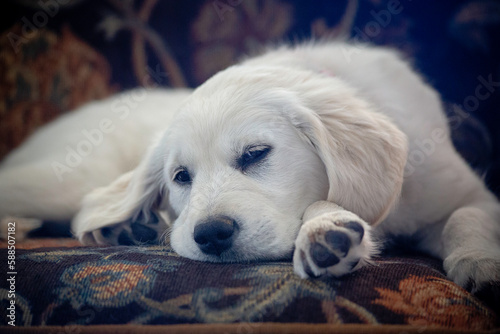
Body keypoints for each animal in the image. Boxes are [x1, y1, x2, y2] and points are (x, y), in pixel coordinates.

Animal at [0, 41, 500, 300]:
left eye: (256, 154)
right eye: (181, 177)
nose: (210, 235)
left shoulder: (463, 194)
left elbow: (465, 216)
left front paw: (481, 260)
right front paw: (326, 231)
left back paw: (127, 230)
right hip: (67, 178)